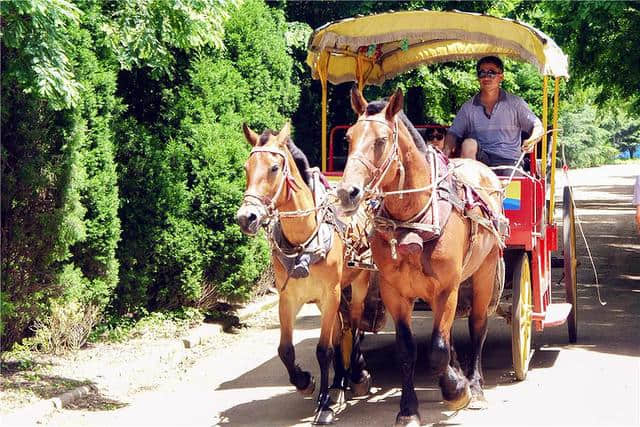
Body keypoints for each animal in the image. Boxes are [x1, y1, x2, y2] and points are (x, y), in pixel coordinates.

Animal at [238, 122, 372, 426]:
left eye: (275, 168)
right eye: (246, 167)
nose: (246, 217)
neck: (304, 240)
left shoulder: (329, 294)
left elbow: (323, 350)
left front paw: (324, 405)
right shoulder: (288, 298)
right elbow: (286, 349)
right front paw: (305, 382)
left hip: (359, 283)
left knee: (356, 324)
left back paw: (356, 374)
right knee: (342, 331)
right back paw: (339, 382)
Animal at [336, 88, 504, 426]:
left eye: (381, 140)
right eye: (348, 138)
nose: (348, 192)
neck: (413, 220)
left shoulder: (446, 288)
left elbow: (437, 349)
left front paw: (457, 391)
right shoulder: (394, 291)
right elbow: (407, 350)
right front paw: (408, 409)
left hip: (484, 270)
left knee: (477, 325)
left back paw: (475, 386)